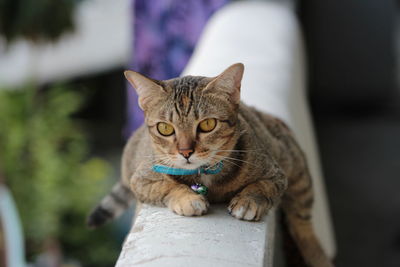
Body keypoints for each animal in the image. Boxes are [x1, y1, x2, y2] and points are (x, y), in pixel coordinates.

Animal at [88, 63, 334, 267]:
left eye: (207, 124)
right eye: (165, 128)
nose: (185, 152)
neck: (203, 175)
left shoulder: (276, 174)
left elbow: (262, 186)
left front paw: (248, 201)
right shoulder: (141, 180)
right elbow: (167, 185)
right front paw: (187, 198)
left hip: (295, 167)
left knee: (303, 224)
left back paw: (316, 254)